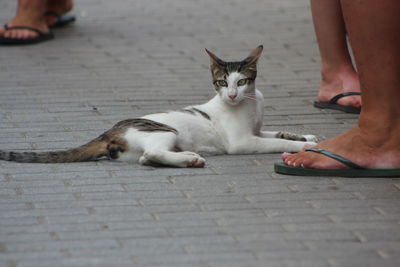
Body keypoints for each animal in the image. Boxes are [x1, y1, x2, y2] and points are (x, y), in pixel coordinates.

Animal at [0, 45, 318, 168]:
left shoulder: (257, 130)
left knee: (146, 158)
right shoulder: (242, 142)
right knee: (151, 154)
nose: (230, 95)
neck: (250, 102)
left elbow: (278, 133)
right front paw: (302, 147)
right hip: (165, 131)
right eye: (221, 82)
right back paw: (189, 159)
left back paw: (187, 158)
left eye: (241, 82)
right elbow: (274, 143)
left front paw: (307, 136)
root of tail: (108, 131)